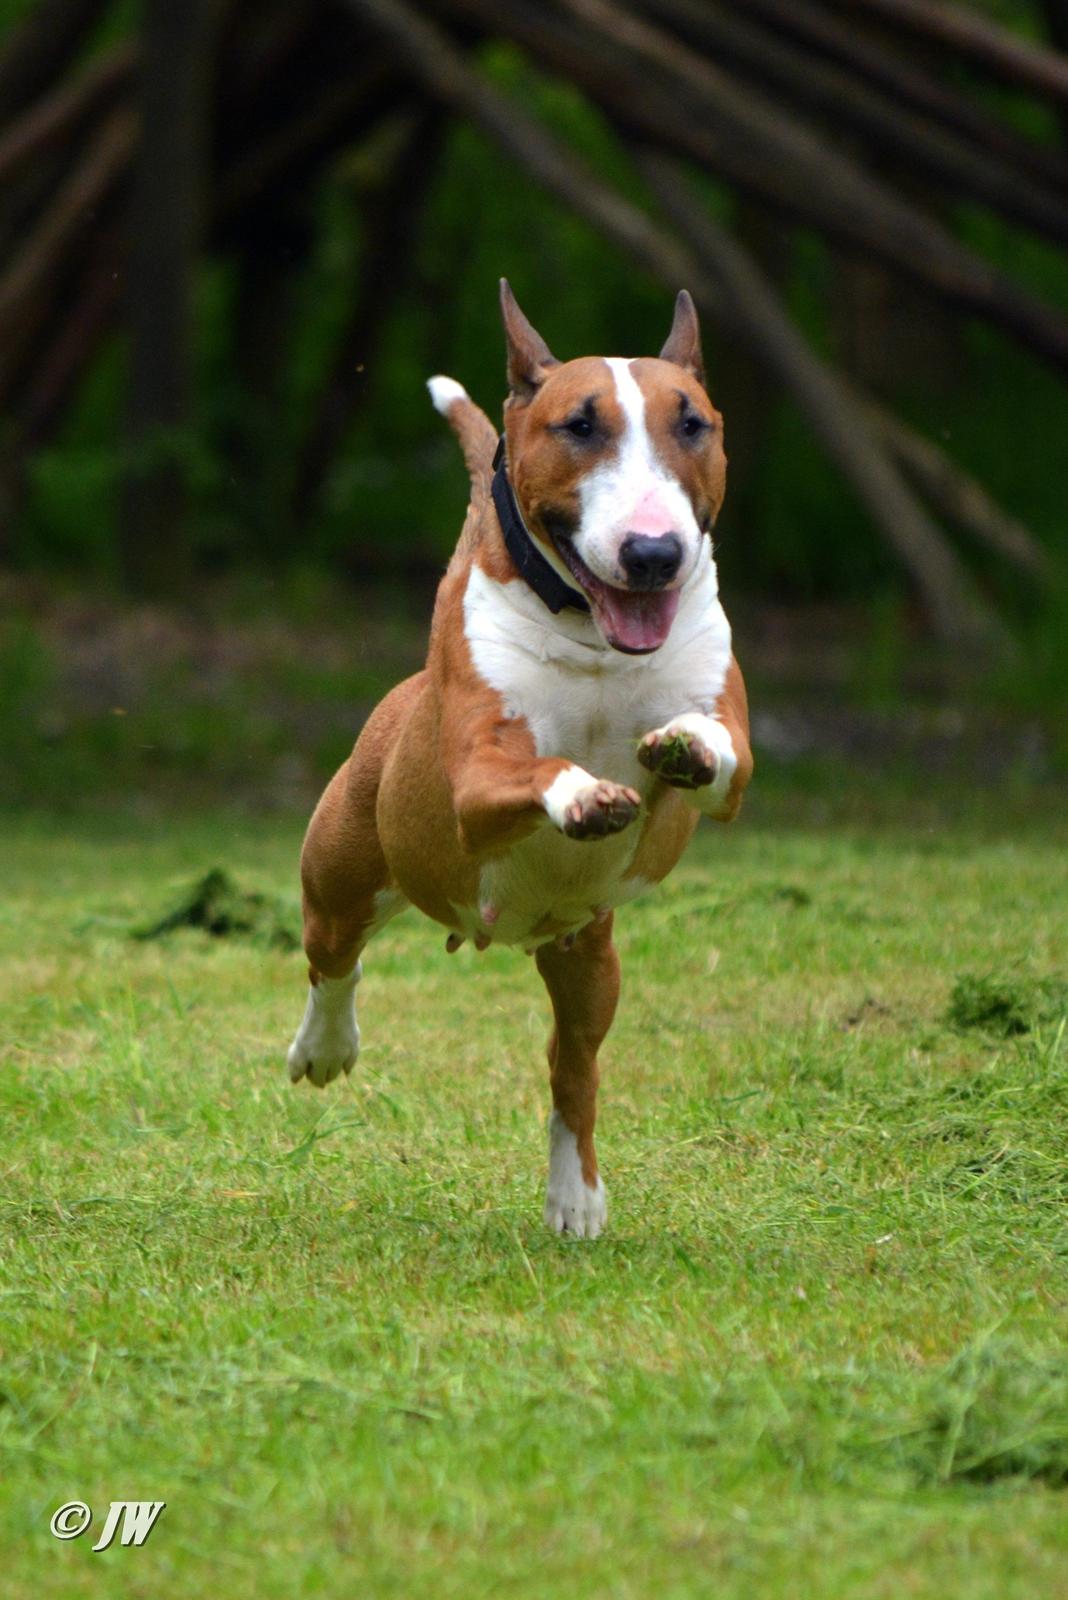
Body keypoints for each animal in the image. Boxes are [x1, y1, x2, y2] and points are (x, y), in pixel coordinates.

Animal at [282, 281, 751, 1241]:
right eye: (578, 424)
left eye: (694, 423)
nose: (655, 555)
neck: (598, 638)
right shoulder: (476, 780)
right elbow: (538, 770)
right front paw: (585, 796)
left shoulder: (734, 742)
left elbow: (722, 753)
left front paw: (677, 749)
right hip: (344, 873)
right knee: (333, 959)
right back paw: (324, 1048)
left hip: (589, 960)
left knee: (574, 1068)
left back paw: (576, 1197)